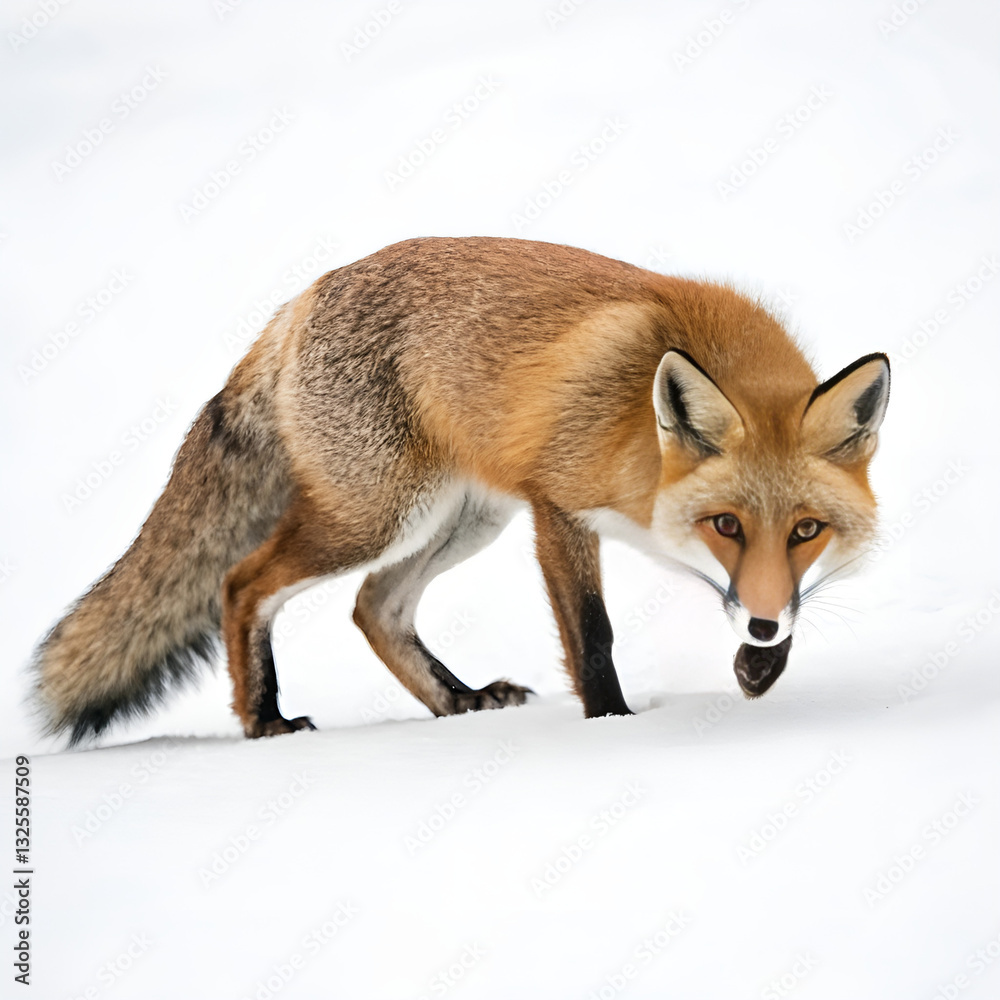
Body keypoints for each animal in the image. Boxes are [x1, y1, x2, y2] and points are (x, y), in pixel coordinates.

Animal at [31, 237, 889, 744]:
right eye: (726, 525)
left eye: (807, 531)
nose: (763, 625)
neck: (638, 437)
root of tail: (301, 300)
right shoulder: (556, 506)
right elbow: (593, 635)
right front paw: (612, 729)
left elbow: (775, 613)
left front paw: (759, 667)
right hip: (379, 517)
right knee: (242, 583)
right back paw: (265, 720)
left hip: (463, 519)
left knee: (373, 607)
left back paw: (457, 706)